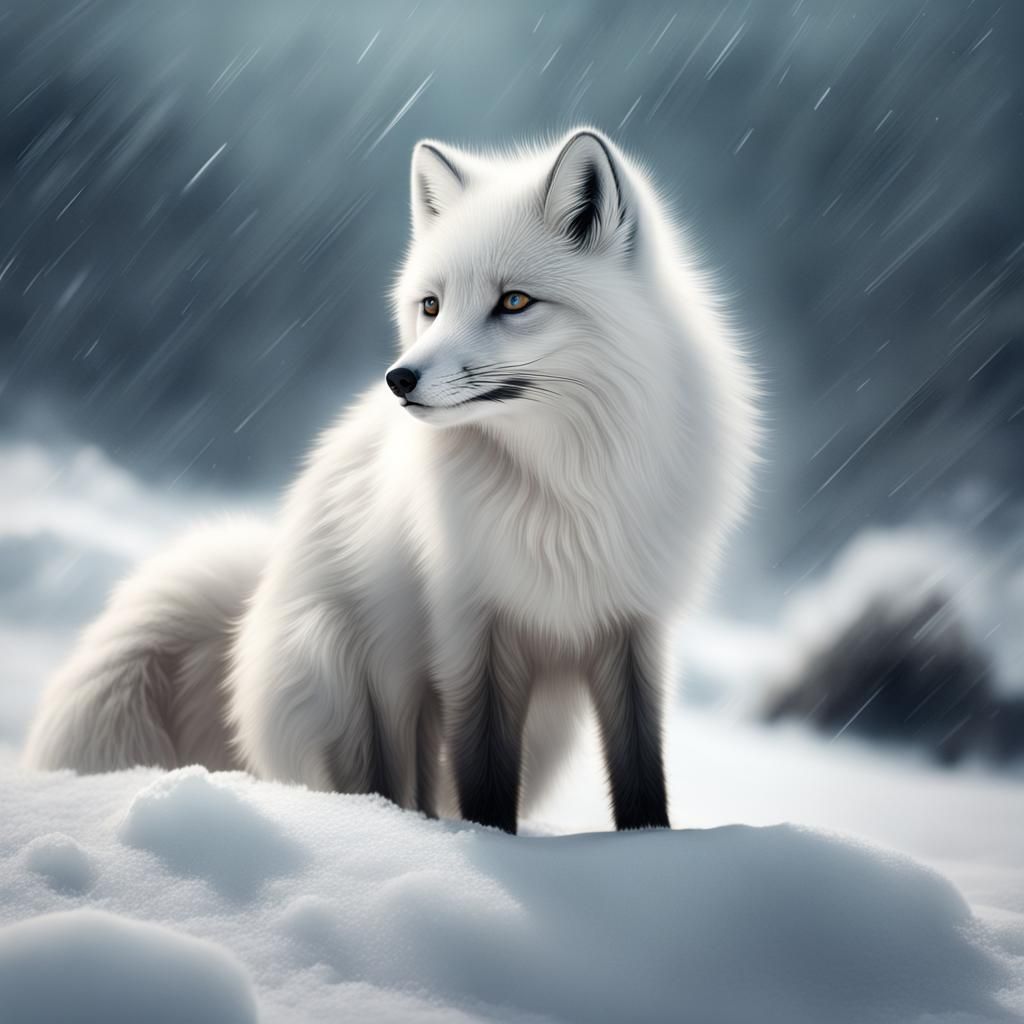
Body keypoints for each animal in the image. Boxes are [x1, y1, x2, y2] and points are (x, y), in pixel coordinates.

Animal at [24, 128, 759, 833]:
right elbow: (484, 774)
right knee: (388, 784)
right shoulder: (469, 629)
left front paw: (649, 846)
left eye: (514, 301)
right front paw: (486, 850)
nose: (399, 379)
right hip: (355, 682)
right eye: (431, 305)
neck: (566, 483)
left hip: (536, 724)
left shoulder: (635, 627)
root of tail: (254, 605)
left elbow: (640, 770)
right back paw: (391, 827)